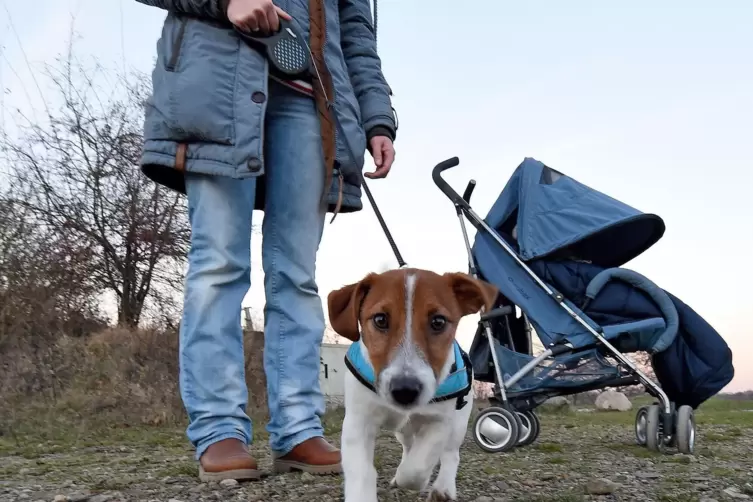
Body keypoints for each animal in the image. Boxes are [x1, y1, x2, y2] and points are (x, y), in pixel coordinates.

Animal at [326, 268, 496, 502]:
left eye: (438, 322)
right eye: (380, 319)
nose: (405, 391)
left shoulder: (440, 422)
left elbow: (416, 468)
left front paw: (414, 480)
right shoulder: (358, 422)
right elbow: (362, 472)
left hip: (459, 423)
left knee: (450, 454)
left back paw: (443, 488)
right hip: (403, 432)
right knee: (409, 446)